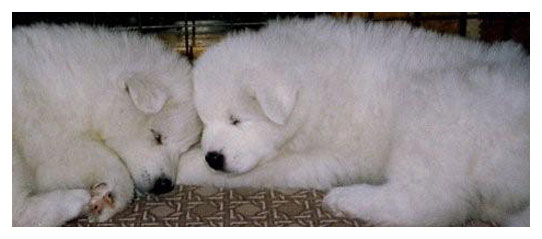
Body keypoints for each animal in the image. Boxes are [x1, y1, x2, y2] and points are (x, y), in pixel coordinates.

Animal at [13, 25, 204, 227]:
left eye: (185, 148)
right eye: (156, 136)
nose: (164, 185)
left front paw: (106, 197)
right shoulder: (54, 143)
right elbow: (111, 162)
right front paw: (110, 195)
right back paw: (74, 200)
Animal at [178, 16, 532, 226]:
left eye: (236, 120)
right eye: (204, 122)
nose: (213, 157)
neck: (315, 88)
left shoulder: (320, 159)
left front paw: (182, 164)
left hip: (435, 106)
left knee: (427, 201)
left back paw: (347, 199)